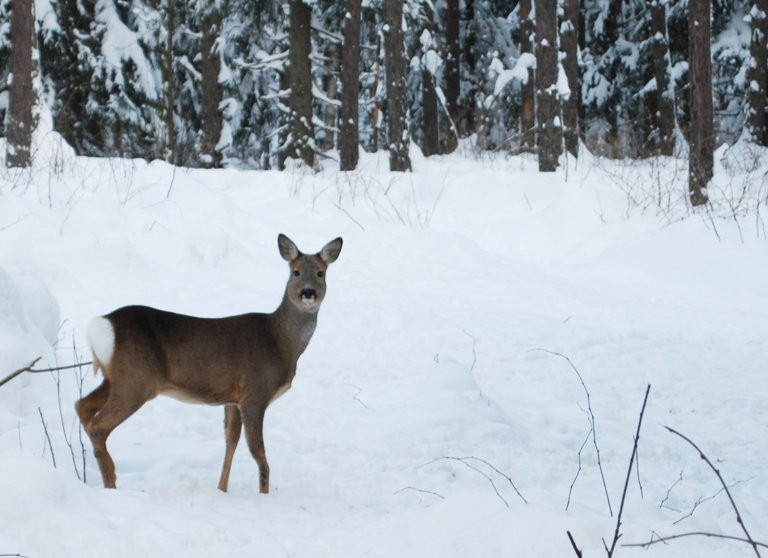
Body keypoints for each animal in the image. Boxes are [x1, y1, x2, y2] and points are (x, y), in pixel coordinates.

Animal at [75, 235, 342, 494]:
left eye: (320, 273)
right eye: (295, 271)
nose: (308, 292)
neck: (281, 341)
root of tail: (103, 325)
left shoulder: (232, 399)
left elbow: (230, 443)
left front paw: (221, 489)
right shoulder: (255, 392)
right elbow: (259, 454)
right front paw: (263, 496)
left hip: (117, 378)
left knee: (82, 406)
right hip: (137, 380)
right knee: (98, 425)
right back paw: (111, 484)